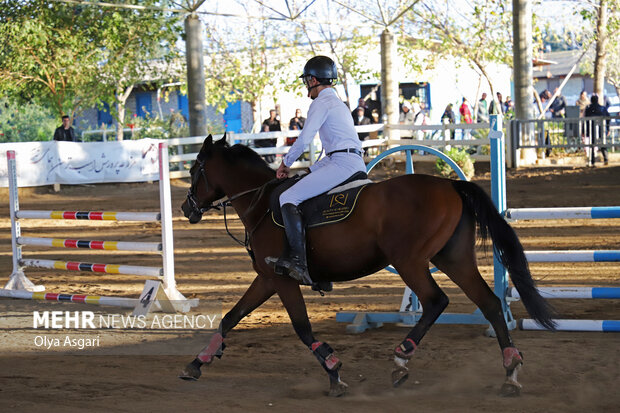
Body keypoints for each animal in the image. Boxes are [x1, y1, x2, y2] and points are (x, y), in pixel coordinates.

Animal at [178, 135, 552, 396]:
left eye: (195, 170)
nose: (186, 208)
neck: (262, 203)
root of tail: (450, 184)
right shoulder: (268, 279)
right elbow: (230, 317)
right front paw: (198, 362)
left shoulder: (282, 280)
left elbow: (302, 328)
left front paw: (333, 370)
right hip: (453, 259)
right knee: (490, 303)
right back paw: (511, 370)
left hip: (409, 262)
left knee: (436, 301)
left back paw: (402, 358)